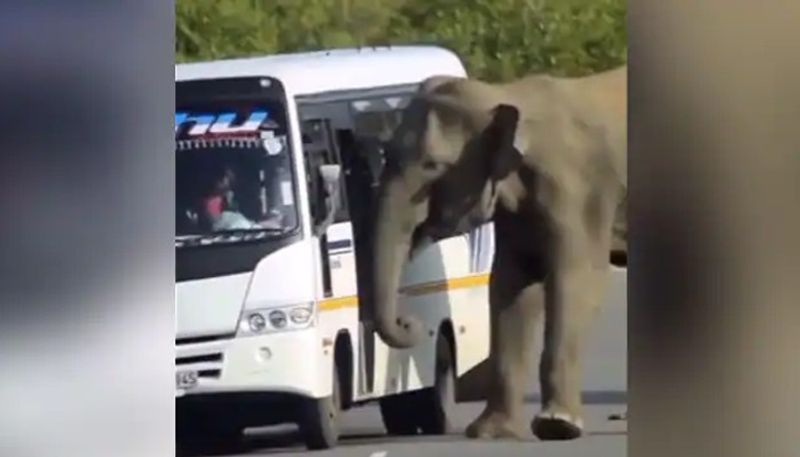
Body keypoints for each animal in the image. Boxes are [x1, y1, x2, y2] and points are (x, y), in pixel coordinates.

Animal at [372, 66, 628, 440]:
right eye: (386, 154)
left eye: (432, 166)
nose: (409, 322)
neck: (504, 95)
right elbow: (510, 285)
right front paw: (491, 433)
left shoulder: (579, 191)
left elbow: (575, 280)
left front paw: (557, 426)